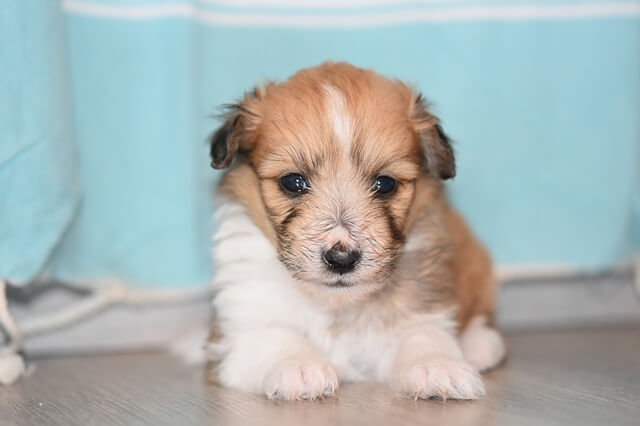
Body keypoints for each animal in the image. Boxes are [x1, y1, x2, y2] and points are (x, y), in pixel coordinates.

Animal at [205, 61, 504, 402]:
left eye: (385, 184)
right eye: (293, 182)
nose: (341, 259)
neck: (335, 306)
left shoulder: (420, 311)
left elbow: (422, 334)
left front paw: (437, 366)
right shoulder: (242, 333)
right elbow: (275, 336)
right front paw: (299, 366)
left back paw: (479, 345)